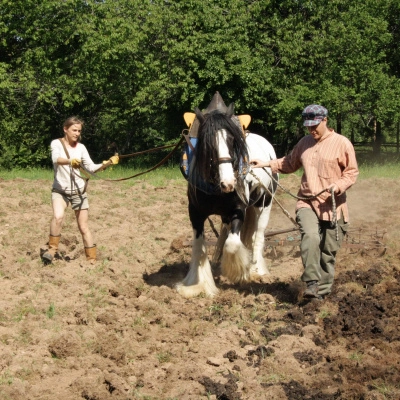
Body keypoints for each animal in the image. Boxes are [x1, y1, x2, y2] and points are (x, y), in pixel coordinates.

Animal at [178, 91, 278, 296]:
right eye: (208, 144)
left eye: (233, 141)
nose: (229, 183)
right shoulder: (195, 213)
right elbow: (199, 246)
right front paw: (197, 284)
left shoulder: (238, 209)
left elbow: (233, 244)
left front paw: (238, 272)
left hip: (265, 204)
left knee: (258, 236)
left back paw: (257, 270)